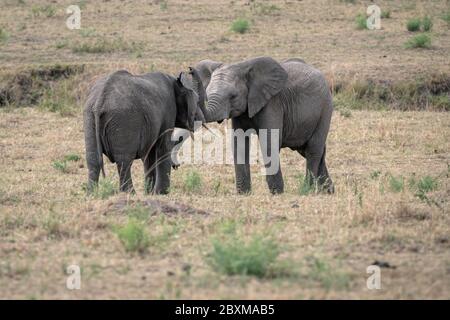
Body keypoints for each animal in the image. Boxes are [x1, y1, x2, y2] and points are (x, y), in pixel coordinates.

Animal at [191, 56, 334, 194]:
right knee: (312, 150)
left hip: (325, 109)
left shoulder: (272, 103)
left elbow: (269, 142)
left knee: (313, 149)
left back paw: (307, 190)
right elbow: (239, 144)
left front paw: (277, 192)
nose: (190, 69)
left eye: (233, 96)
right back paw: (328, 191)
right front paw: (243, 193)